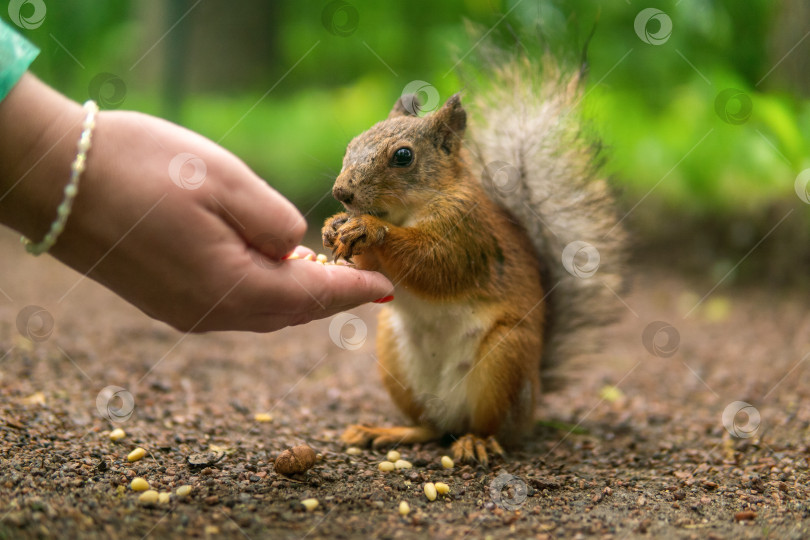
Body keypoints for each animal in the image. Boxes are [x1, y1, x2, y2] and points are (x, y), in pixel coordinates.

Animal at [318, 53, 620, 464]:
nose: (341, 193)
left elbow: (434, 264)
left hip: (504, 357)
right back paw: (385, 431)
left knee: (491, 428)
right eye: (352, 143)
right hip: (395, 358)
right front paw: (333, 226)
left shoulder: (465, 232)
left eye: (403, 156)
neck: (407, 212)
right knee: (430, 428)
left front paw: (368, 228)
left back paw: (476, 442)